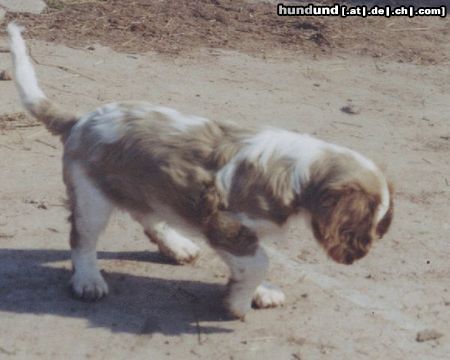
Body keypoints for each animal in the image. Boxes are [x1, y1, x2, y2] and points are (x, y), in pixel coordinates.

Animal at [7, 23, 394, 320]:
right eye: (363, 224)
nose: (360, 255)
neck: (300, 171)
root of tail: (80, 120)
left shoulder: (233, 232)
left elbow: (250, 263)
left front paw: (258, 292)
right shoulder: (227, 225)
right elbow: (259, 262)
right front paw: (239, 303)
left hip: (148, 188)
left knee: (150, 217)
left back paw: (178, 246)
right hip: (91, 199)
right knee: (82, 240)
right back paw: (88, 281)